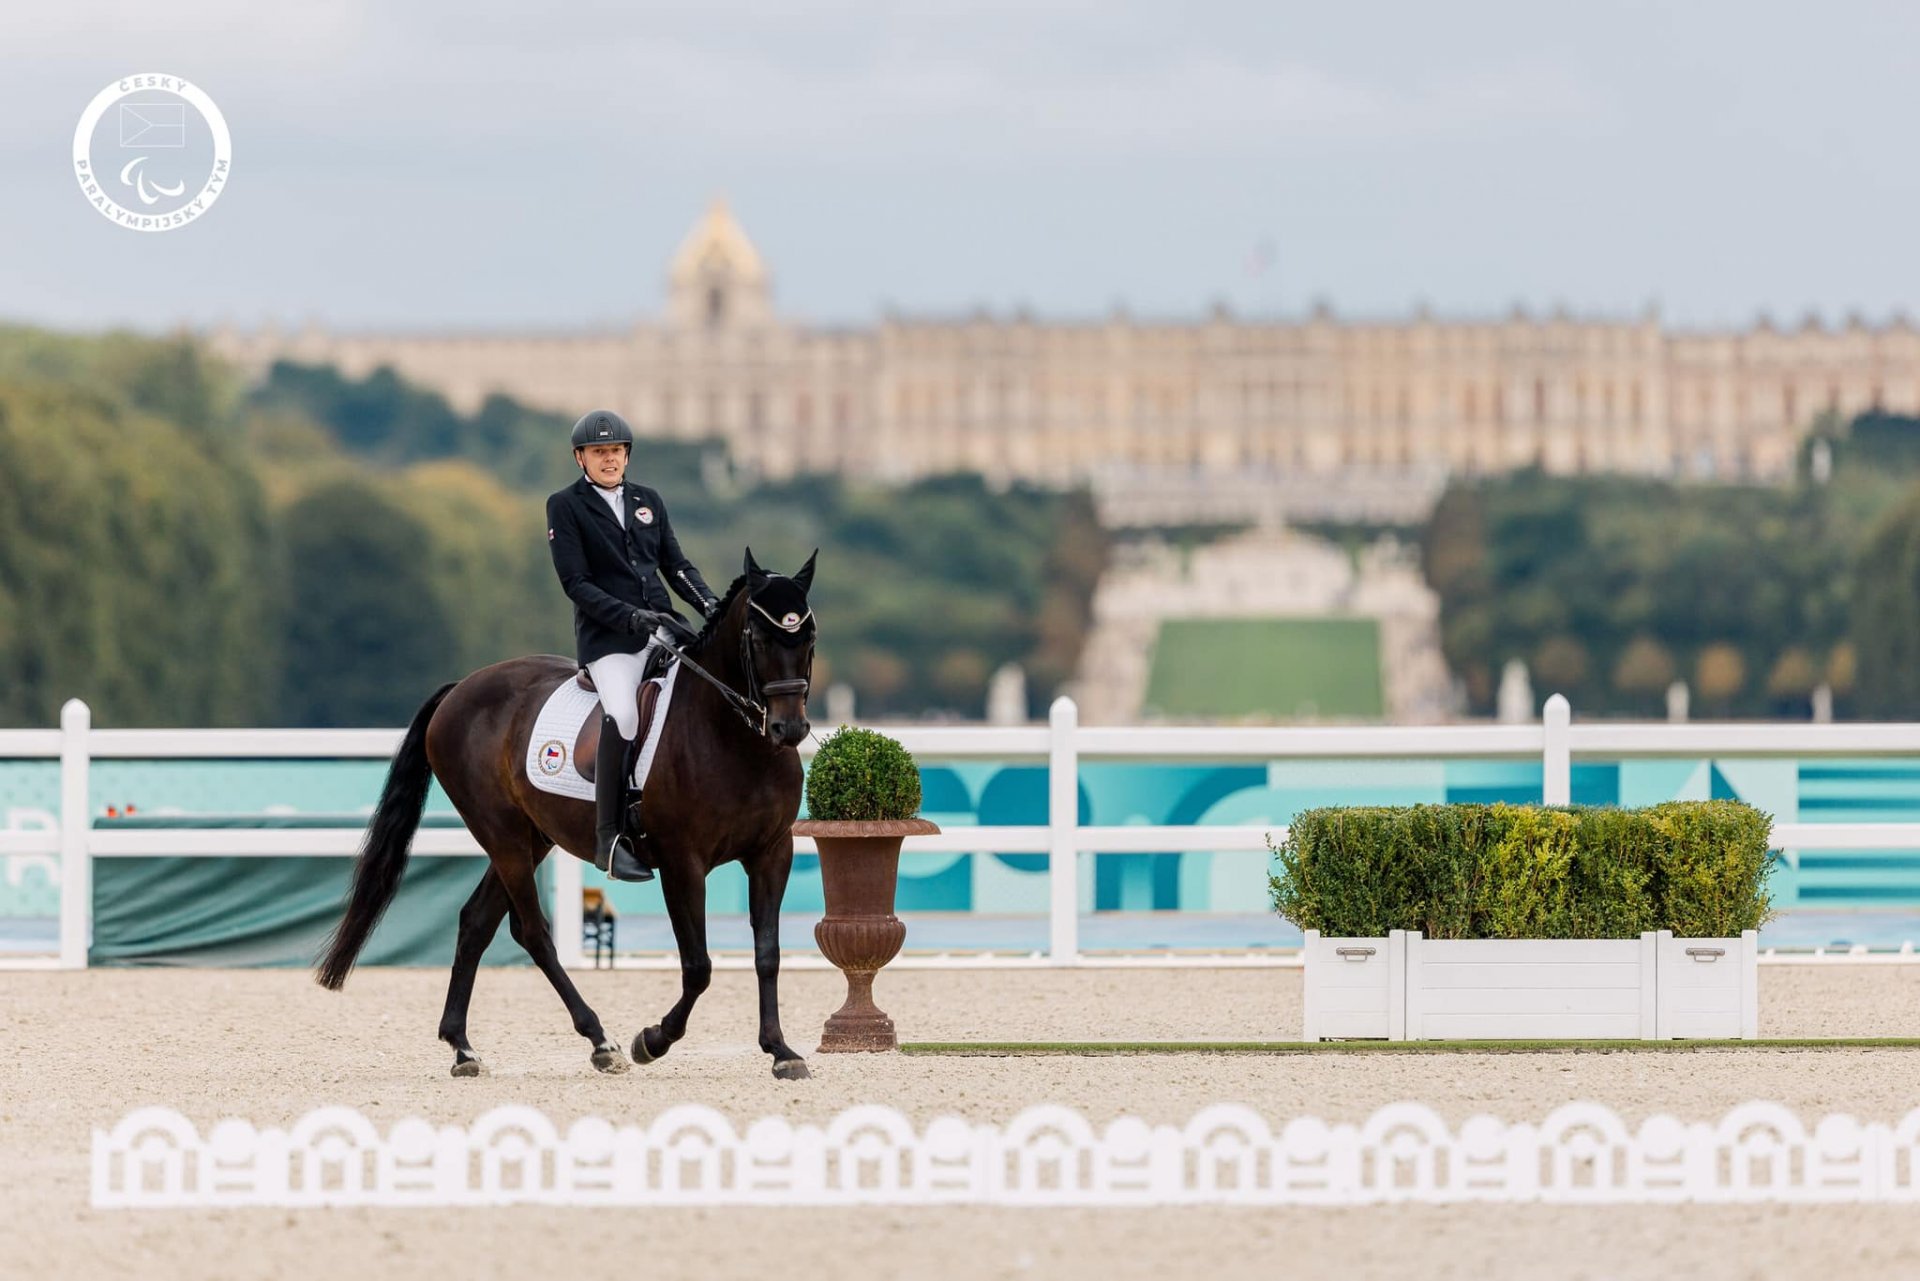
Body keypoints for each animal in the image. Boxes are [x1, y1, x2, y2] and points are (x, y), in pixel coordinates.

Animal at [312, 545, 817, 1075]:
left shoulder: (772, 853)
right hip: (504, 837)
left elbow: (768, 954)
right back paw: (600, 1041)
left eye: (808, 636)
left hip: (532, 837)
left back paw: (463, 1047)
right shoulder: (683, 862)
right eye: (758, 637)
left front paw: (781, 1051)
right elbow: (698, 966)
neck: (735, 739)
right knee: (532, 931)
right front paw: (653, 1040)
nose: (789, 730)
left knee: (475, 922)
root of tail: (460, 688)